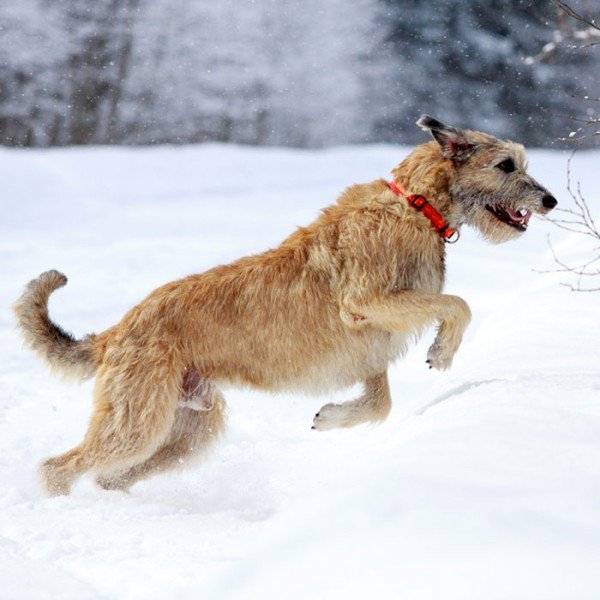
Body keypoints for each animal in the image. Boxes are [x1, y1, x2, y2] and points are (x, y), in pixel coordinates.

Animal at [14, 115, 556, 494]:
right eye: (506, 166)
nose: (550, 201)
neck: (415, 205)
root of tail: (115, 332)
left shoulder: (369, 345)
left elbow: (380, 404)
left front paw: (332, 417)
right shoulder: (367, 302)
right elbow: (458, 304)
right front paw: (442, 351)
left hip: (188, 428)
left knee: (112, 475)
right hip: (138, 419)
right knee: (60, 467)